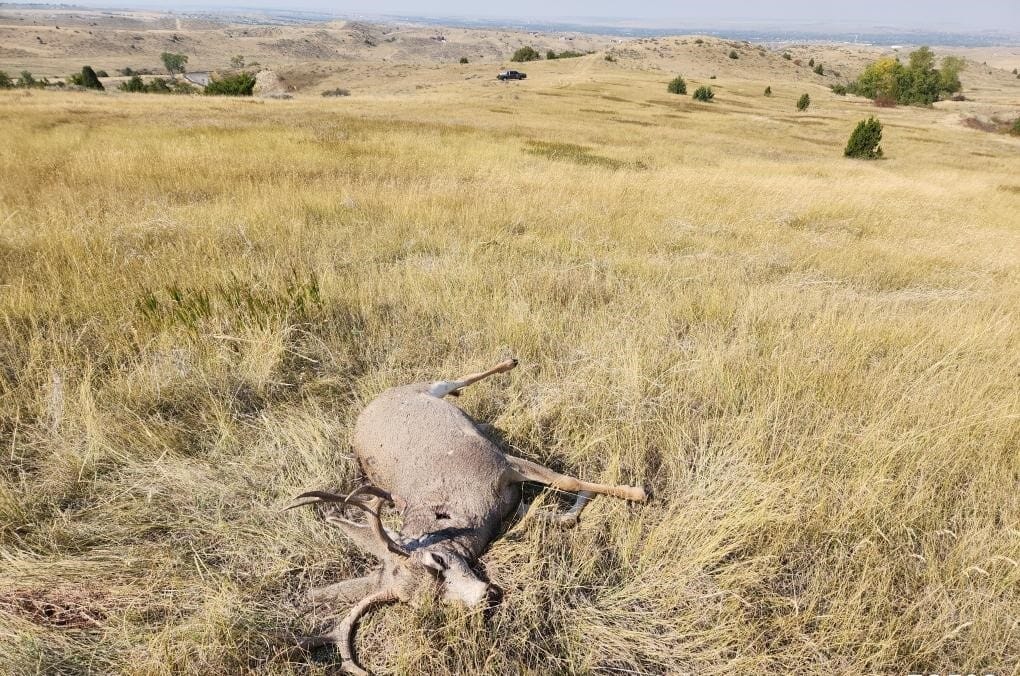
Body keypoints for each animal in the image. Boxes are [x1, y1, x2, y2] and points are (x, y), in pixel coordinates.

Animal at [284, 358, 647, 675]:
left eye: (437, 562)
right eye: (428, 604)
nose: (486, 598)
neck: (454, 515)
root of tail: (369, 406)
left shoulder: (499, 463)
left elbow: (567, 480)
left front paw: (636, 492)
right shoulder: (510, 502)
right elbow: (548, 514)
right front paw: (580, 507)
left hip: (427, 388)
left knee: (455, 379)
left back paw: (509, 362)